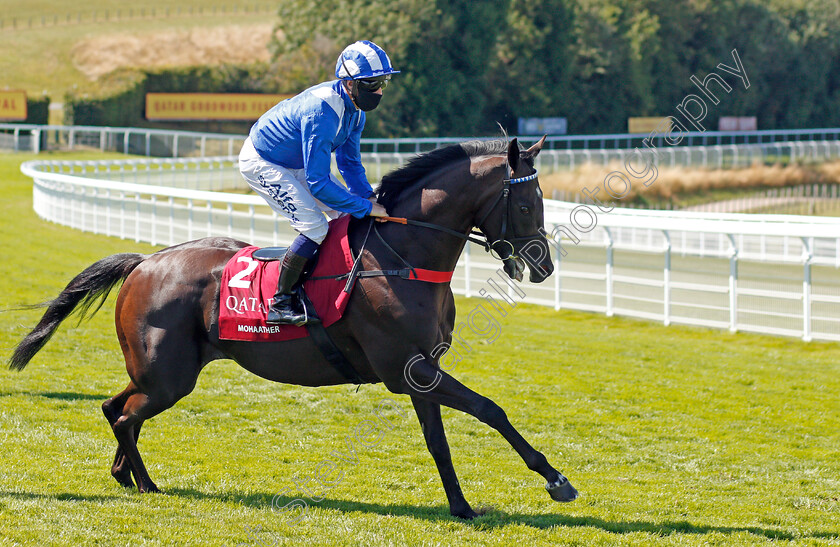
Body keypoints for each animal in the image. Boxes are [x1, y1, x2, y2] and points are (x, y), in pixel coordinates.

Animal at [9, 136, 576, 520]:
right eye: (528, 203)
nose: (543, 265)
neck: (404, 259)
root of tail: (145, 261)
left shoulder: (420, 371)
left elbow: (439, 440)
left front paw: (460, 506)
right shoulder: (407, 369)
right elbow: (491, 409)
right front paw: (556, 480)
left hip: (155, 371)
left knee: (115, 408)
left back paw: (124, 475)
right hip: (169, 376)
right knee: (127, 416)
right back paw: (147, 484)